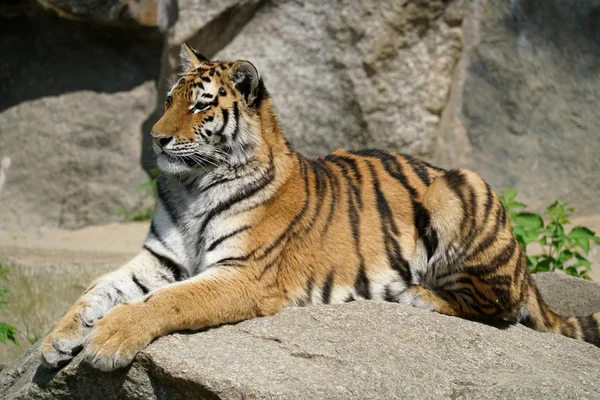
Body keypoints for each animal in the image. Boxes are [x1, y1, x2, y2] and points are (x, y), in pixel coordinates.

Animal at [42, 42, 600, 370]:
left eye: (200, 105)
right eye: (168, 100)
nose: (156, 140)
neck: (193, 185)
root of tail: (525, 266)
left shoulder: (243, 274)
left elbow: (167, 301)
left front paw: (110, 337)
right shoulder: (160, 258)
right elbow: (97, 288)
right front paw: (58, 337)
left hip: (463, 187)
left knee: (499, 309)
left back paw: (420, 296)